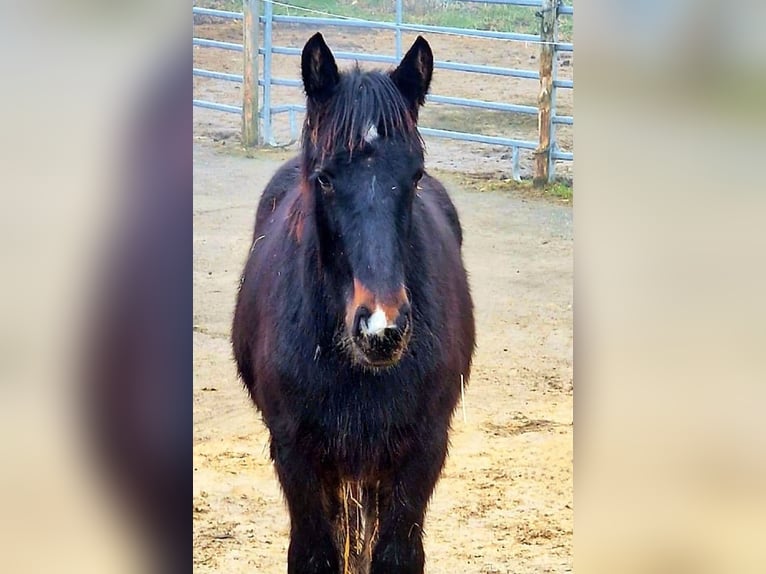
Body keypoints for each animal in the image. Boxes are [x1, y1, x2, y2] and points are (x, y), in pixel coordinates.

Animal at [231, 32, 476, 574]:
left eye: (415, 175)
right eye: (324, 177)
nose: (382, 328)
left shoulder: (422, 452)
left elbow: (396, 555)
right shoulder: (295, 455)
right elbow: (315, 555)